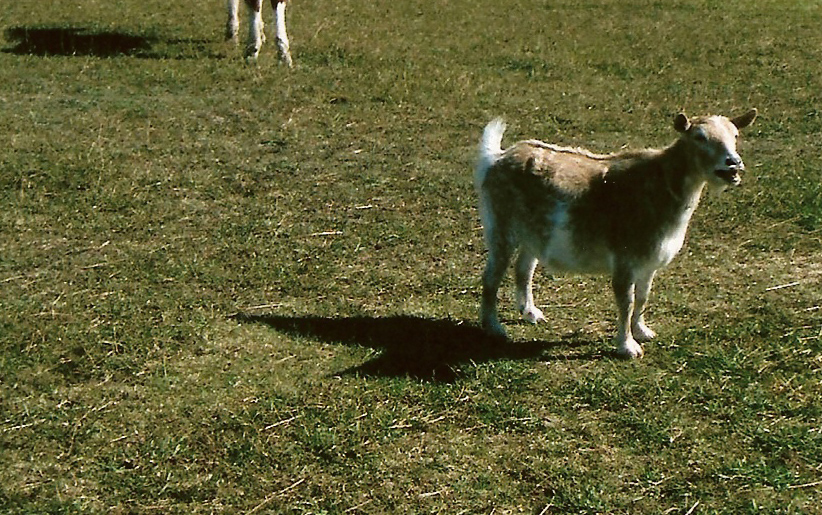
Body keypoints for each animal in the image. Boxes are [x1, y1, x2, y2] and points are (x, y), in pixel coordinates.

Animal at [474, 109, 757, 358]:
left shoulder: (649, 262)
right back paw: (494, 328)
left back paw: (531, 313)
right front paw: (628, 347)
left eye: (735, 135)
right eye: (699, 137)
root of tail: (496, 158)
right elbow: (626, 302)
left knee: (523, 270)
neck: (661, 184)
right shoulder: (625, 260)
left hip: (533, 234)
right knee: (491, 277)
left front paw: (642, 331)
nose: (733, 164)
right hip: (501, 228)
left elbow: (642, 298)